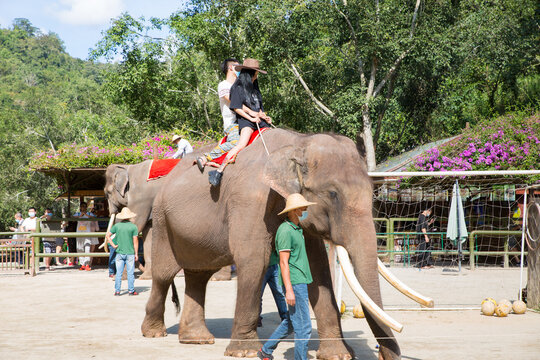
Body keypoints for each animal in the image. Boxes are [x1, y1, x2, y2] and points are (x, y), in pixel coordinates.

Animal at [142, 129, 430, 358]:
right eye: (332, 194)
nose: (382, 354)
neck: (298, 142)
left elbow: (317, 268)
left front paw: (338, 355)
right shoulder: (250, 200)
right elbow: (253, 259)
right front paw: (244, 353)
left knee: (198, 275)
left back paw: (196, 339)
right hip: (162, 221)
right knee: (164, 275)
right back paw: (154, 334)